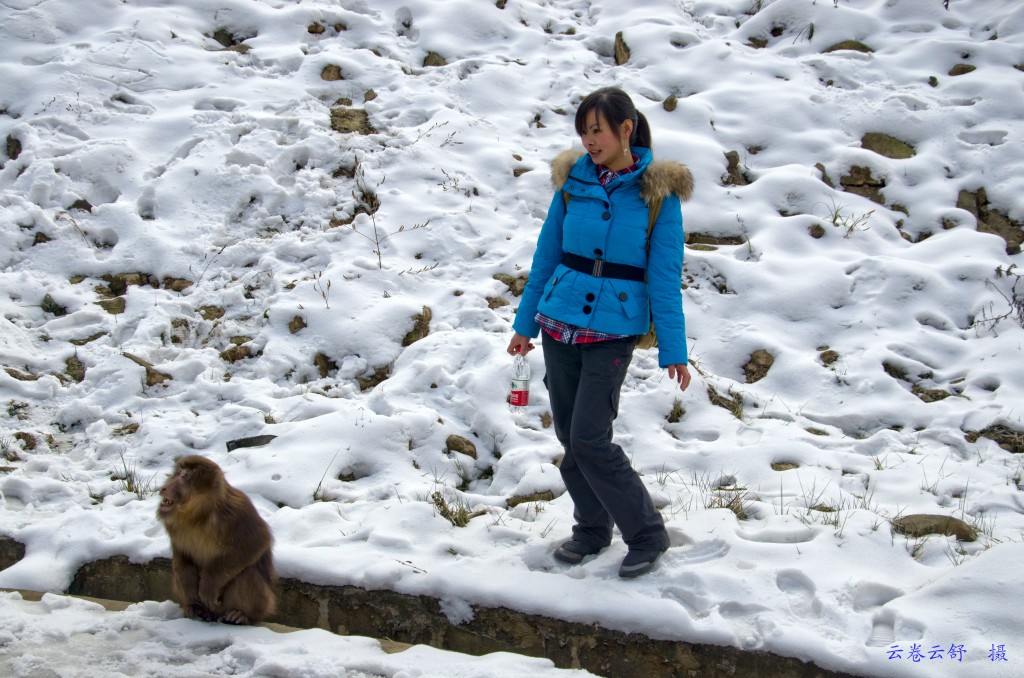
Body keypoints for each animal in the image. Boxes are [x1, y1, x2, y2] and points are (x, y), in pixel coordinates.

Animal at [157, 455, 275, 625]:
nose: (164, 488)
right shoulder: (173, 524)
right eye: (178, 473)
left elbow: (255, 542)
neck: (197, 516)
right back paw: (193, 608)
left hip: (257, 605)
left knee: (247, 573)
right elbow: (182, 555)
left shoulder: (235, 512)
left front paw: (208, 587)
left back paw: (241, 615)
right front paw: (192, 596)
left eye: (185, 477)